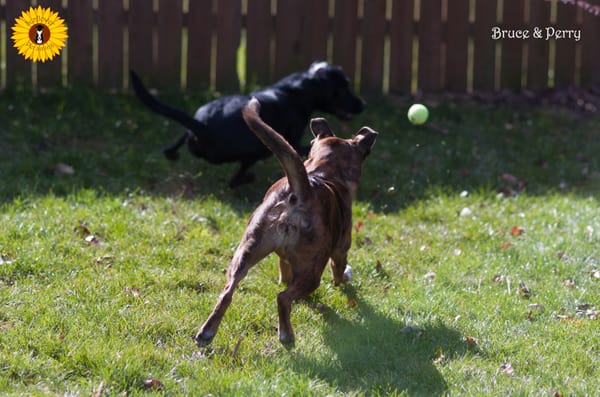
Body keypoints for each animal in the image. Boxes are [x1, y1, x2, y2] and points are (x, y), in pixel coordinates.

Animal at [130, 62, 366, 186]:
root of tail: (203, 125)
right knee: (234, 179)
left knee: (174, 144)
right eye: (344, 87)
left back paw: (173, 153)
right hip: (259, 149)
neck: (299, 90)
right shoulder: (292, 141)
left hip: (191, 131)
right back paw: (248, 178)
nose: (363, 104)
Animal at [195, 97, 378, 344]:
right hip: (313, 269)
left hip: (248, 249)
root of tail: (300, 193)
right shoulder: (340, 249)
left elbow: (284, 269)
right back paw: (286, 335)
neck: (324, 173)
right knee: (282, 298)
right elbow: (339, 271)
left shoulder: (284, 259)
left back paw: (206, 333)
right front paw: (345, 278)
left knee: (227, 292)